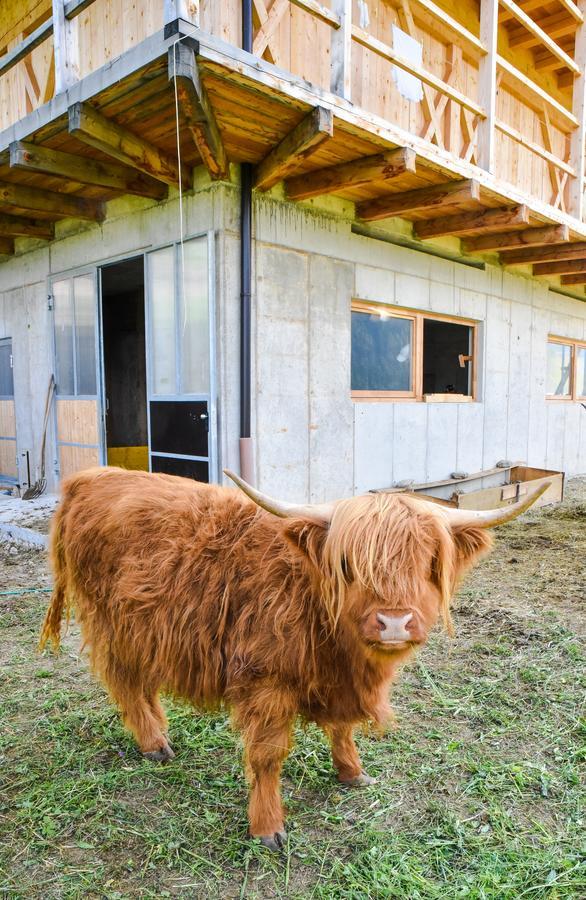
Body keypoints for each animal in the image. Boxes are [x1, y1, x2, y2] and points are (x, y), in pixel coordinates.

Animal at [38, 464, 544, 852]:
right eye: (348, 565)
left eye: (429, 563)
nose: (395, 621)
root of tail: (91, 476)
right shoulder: (266, 682)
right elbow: (267, 757)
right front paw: (267, 827)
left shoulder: (337, 683)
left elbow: (342, 728)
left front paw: (352, 772)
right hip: (112, 624)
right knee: (124, 682)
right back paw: (154, 743)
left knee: (141, 684)